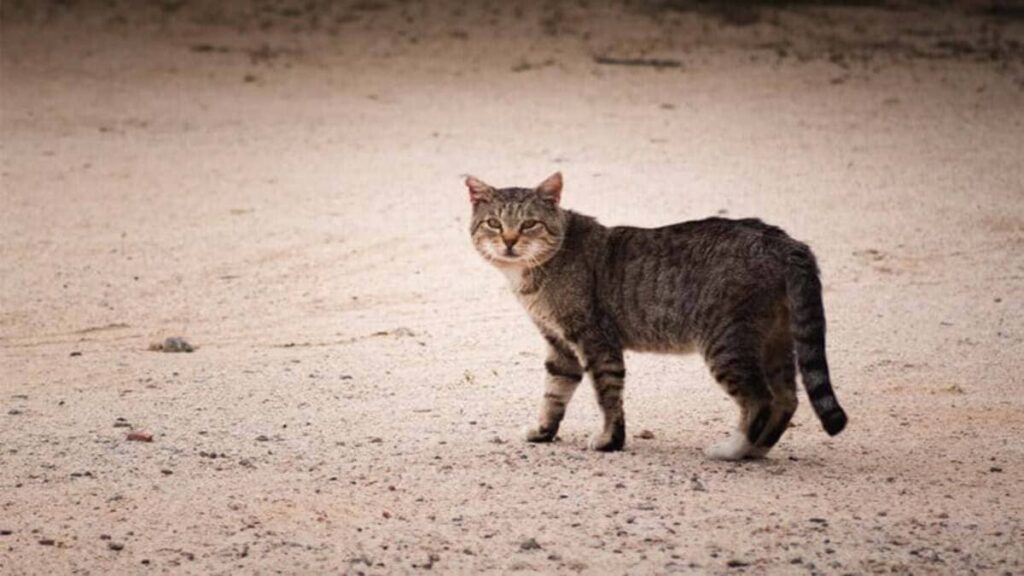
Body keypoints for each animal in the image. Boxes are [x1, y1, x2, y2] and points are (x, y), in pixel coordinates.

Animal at [468, 169, 843, 457]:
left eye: (529, 224)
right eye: (493, 223)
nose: (510, 241)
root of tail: (785, 242)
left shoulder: (595, 341)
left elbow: (608, 396)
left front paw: (609, 441)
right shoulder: (560, 345)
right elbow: (554, 393)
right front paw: (544, 432)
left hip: (727, 344)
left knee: (761, 400)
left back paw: (733, 450)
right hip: (774, 341)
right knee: (786, 400)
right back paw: (757, 450)